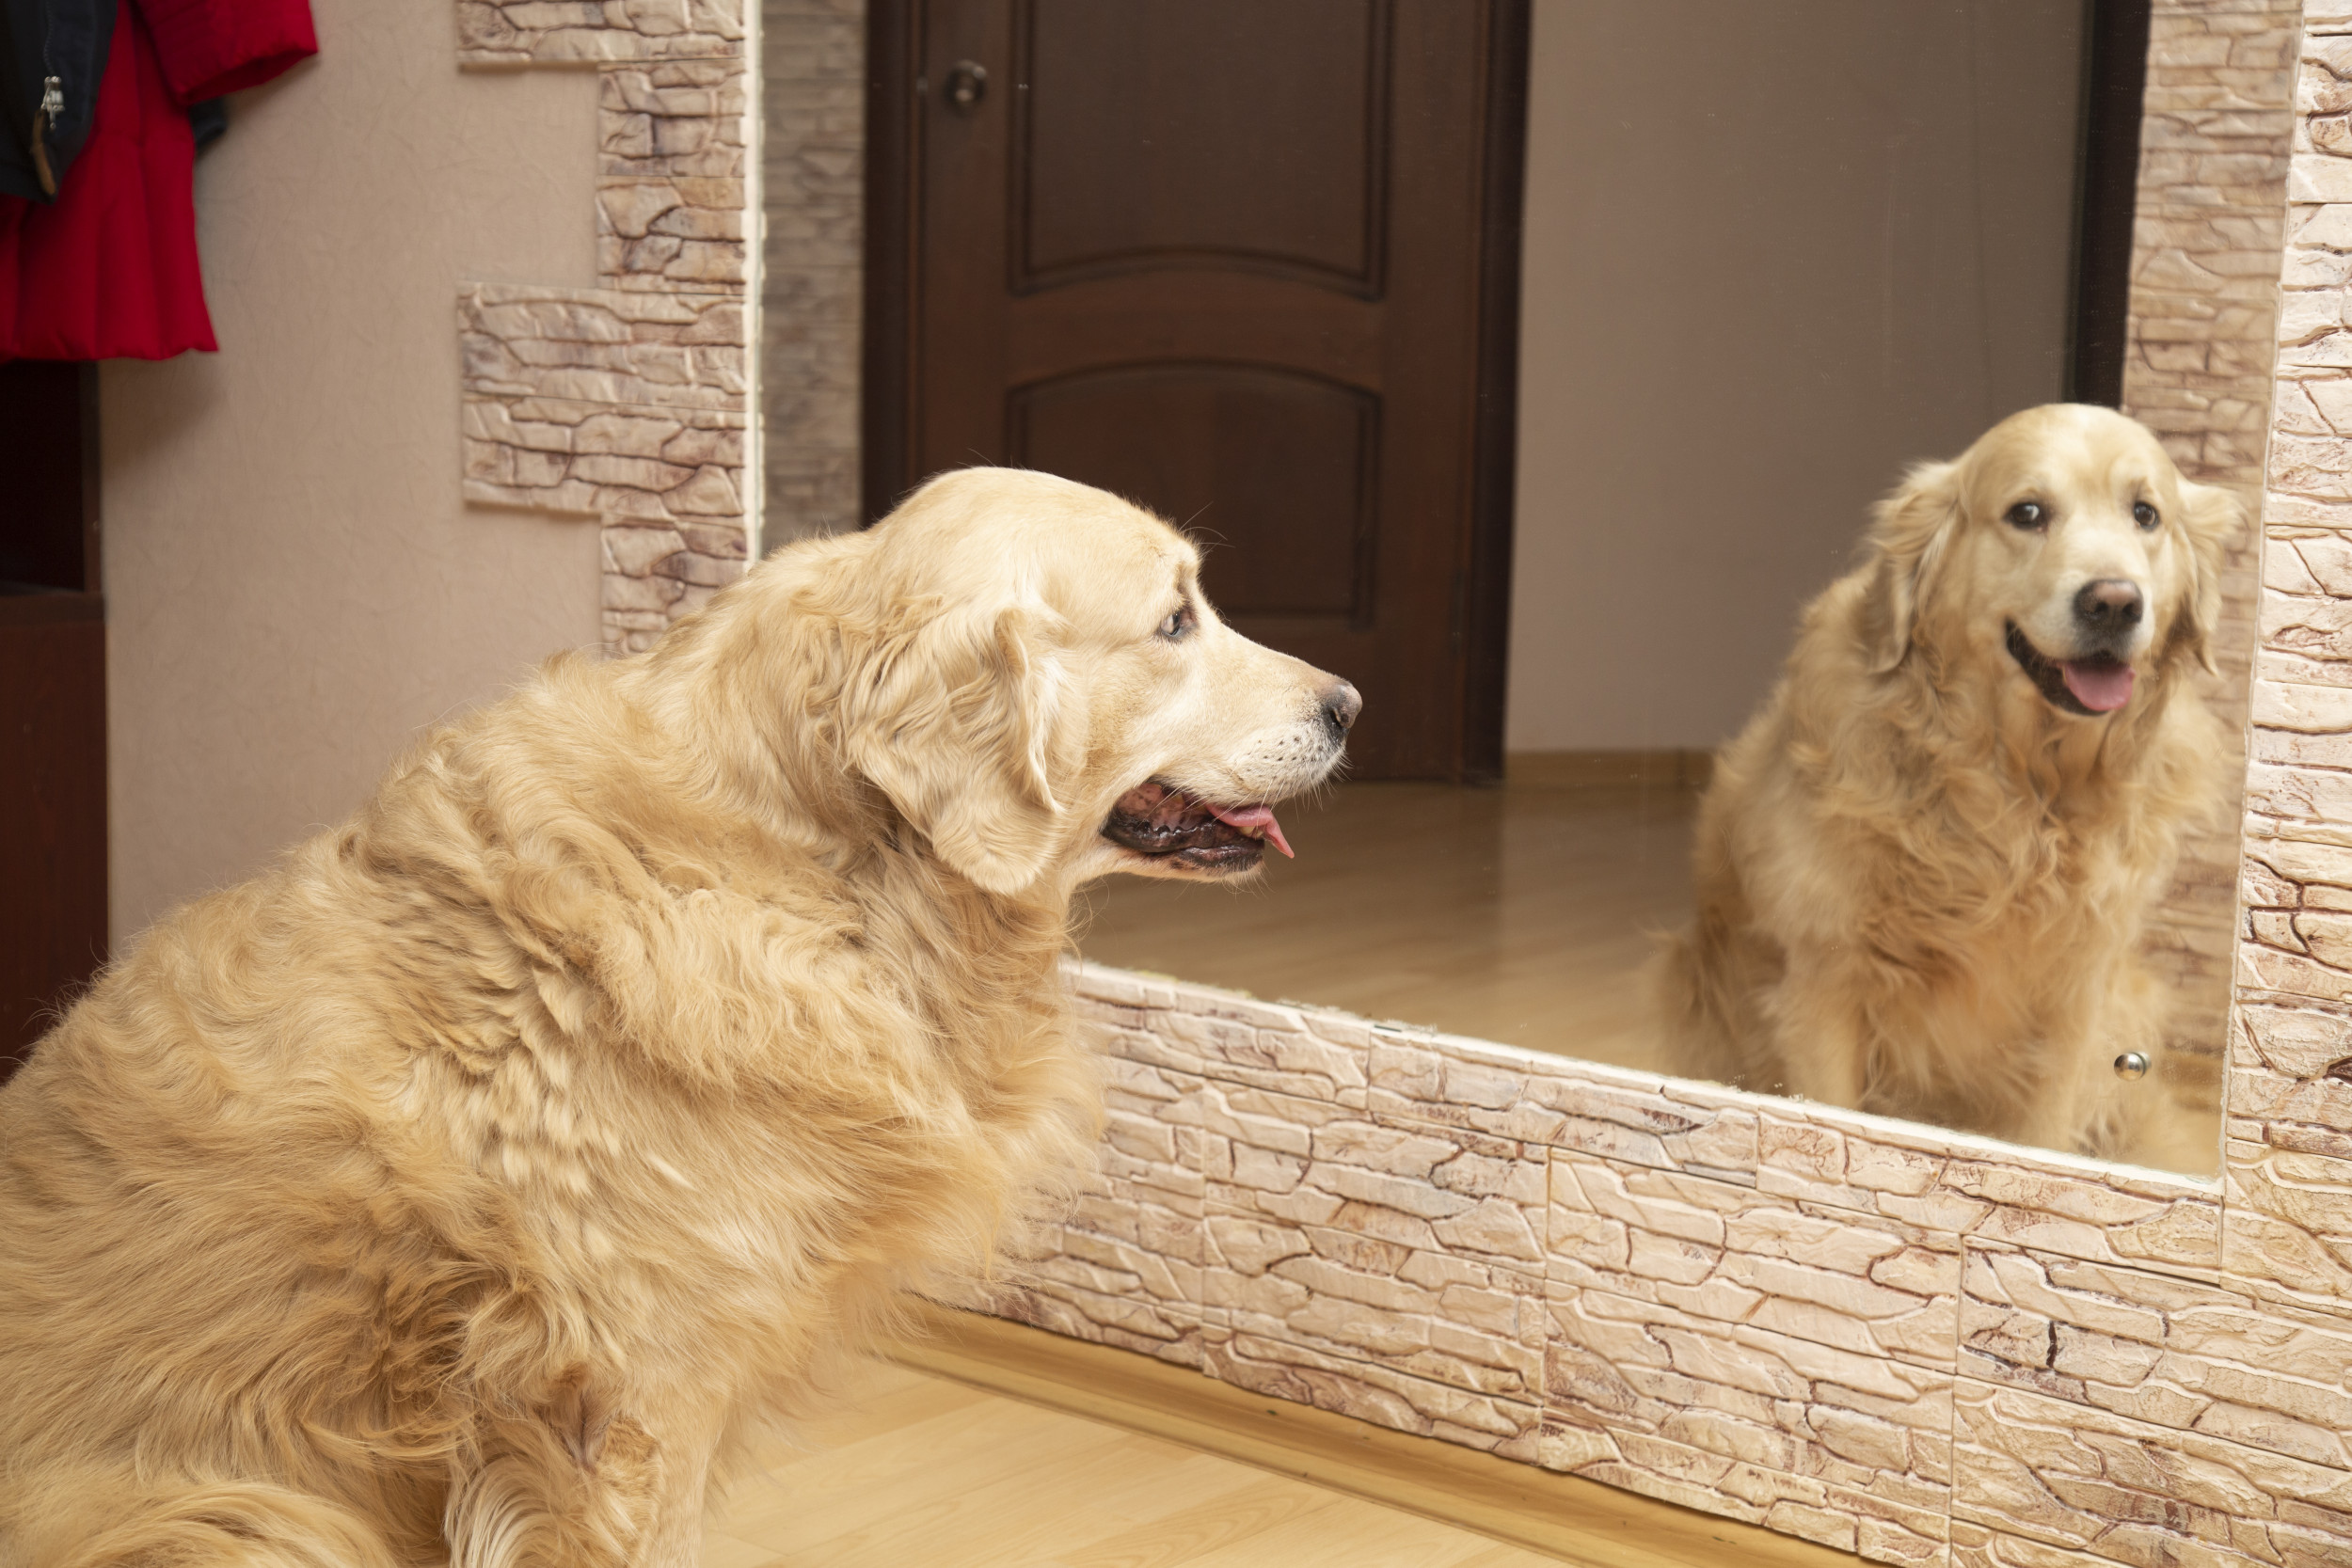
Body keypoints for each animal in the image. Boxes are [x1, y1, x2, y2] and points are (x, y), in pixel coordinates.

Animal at [1656, 402, 2239, 1165]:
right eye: (2027, 512)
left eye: (2146, 513)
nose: (2114, 603)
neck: (2018, 792)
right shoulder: (1824, 986)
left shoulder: (2071, 1009)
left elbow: (2044, 1135)